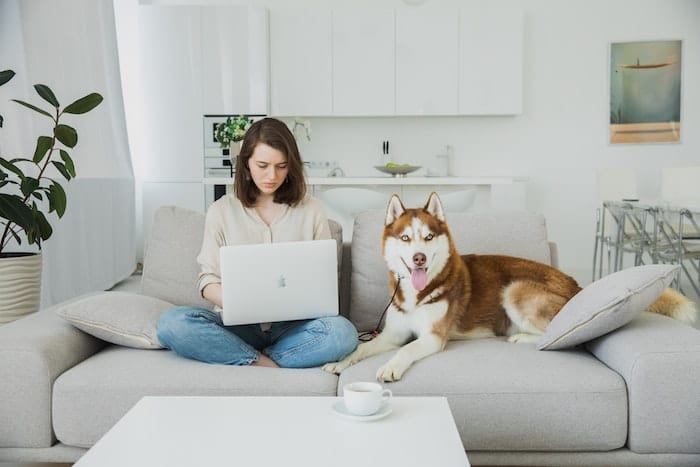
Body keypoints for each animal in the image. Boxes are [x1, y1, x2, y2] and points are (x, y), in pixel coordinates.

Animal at [326, 192, 696, 382]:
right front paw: (342, 362)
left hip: (515, 289)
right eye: (405, 238)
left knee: (560, 338)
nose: (418, 258)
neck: (419, 295)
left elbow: (405, 350)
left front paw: (390, 366)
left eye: (428, 237)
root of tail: (576, 284)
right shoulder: (391, 333)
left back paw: (521, 338)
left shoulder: (432, 337)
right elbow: (362, 349)